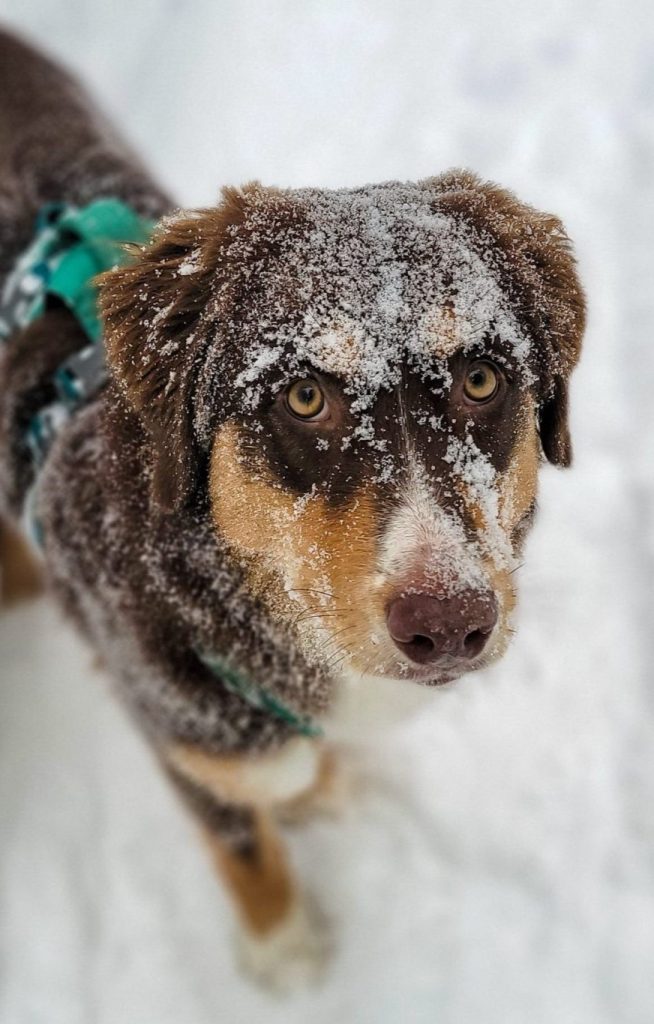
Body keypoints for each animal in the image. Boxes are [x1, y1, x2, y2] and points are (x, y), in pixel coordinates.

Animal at [0, 29, 581, 991]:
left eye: (481, 378)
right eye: (305, 397)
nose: (448, 625)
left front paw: (324, 794)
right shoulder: (183, 730)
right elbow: (246, 838)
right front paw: (289, 958)